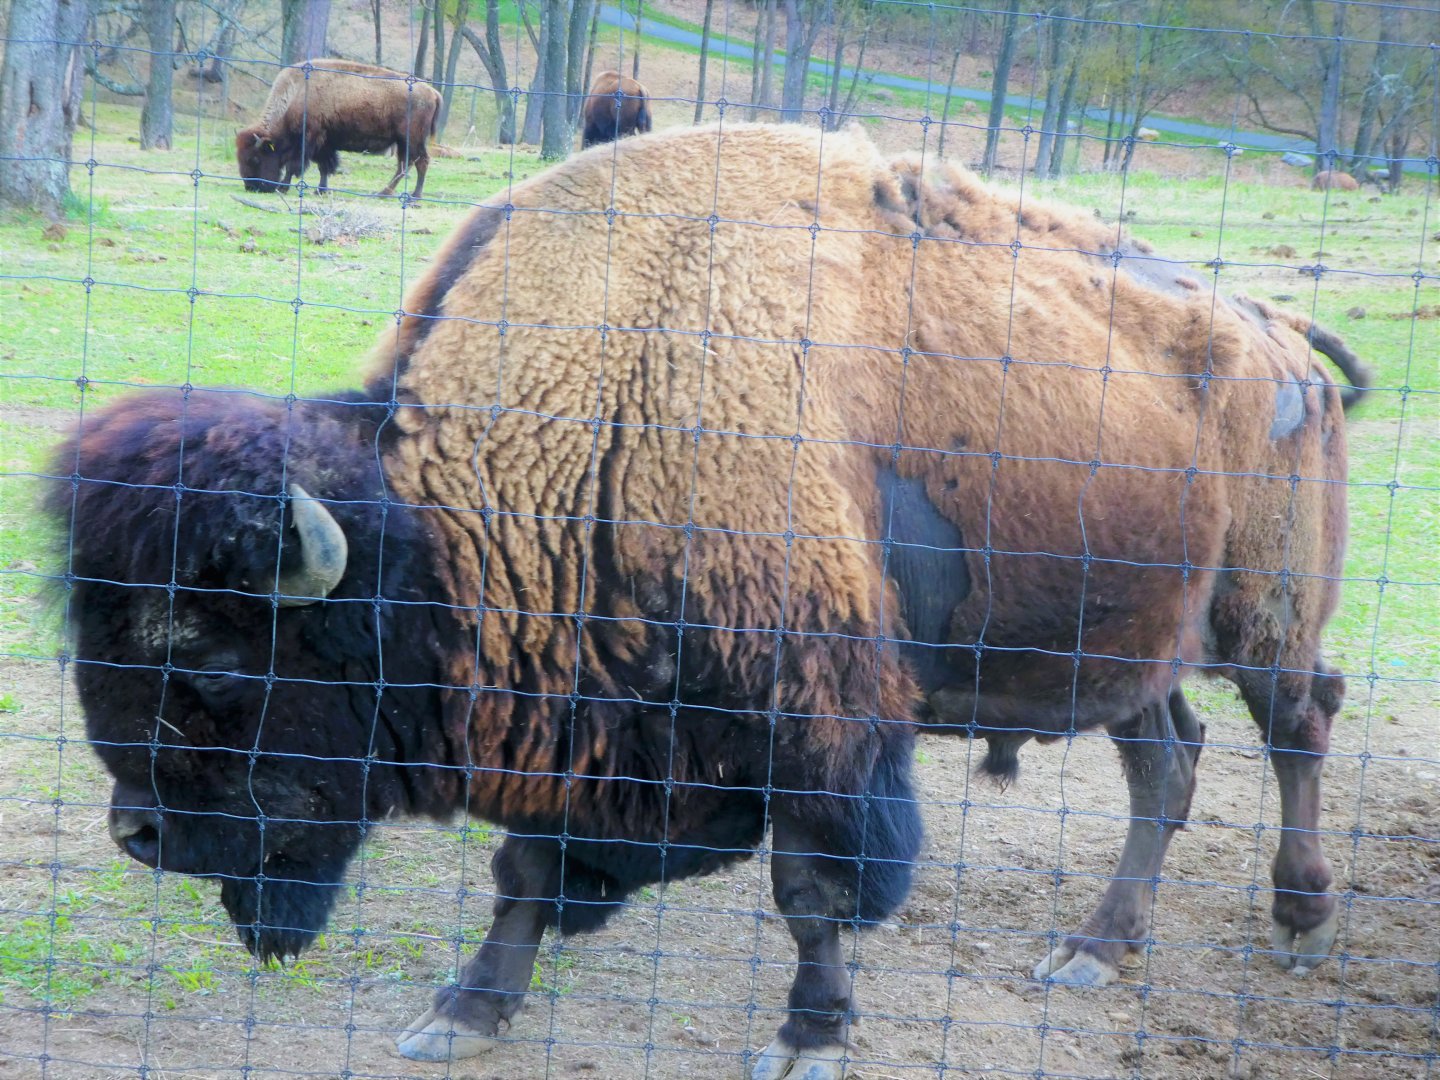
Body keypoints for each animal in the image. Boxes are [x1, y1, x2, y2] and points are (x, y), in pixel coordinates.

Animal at [53, 124, 1364, 1078]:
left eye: (217, 660)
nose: (138, 834)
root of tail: (1279, 337)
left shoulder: (822, 727)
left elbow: (813, 891)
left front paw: (809, 1040)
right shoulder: (596, 713)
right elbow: (529, 869)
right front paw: (463, 1012)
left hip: (1261, 616)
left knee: (1298, 724)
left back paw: (1300, 922)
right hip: (1129, 646)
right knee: (1167, 762)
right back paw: (1093, 949)